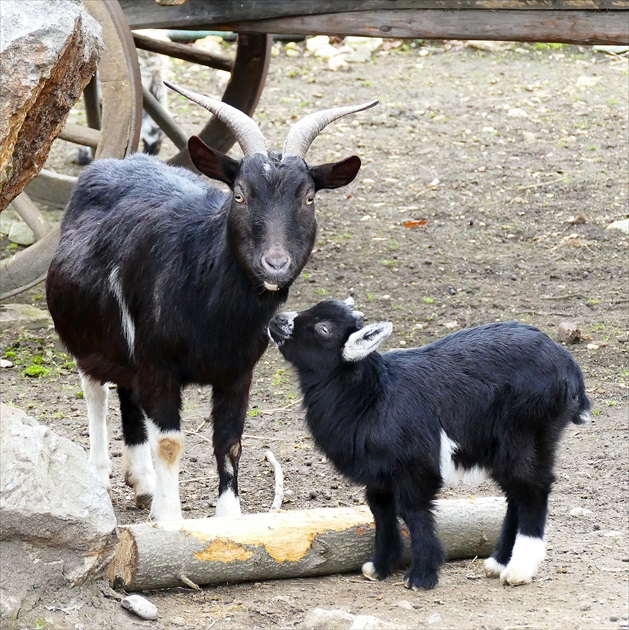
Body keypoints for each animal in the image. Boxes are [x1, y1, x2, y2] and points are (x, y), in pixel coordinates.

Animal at [47, 85, 378, 528]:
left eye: (309, 198)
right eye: (239, 194)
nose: (275, 264)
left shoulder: (237, 372)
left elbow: (230, 443)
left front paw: (228, 520)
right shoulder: (157, 366)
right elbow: (170, 443)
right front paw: (170, 520)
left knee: (128, 396)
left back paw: (143, 482)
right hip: (87, 334)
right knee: (95, 392)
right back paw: (100, 478)